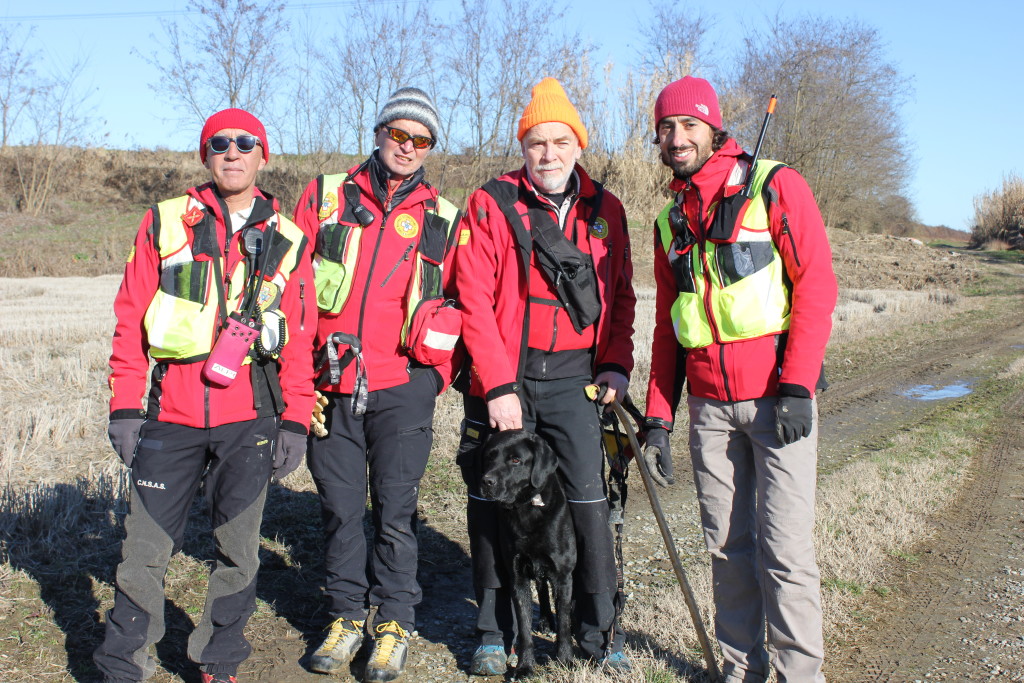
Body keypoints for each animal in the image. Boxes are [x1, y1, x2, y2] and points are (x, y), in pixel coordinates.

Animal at [479, 430, 577, 675]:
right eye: (490, 456)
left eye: (516, 460)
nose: (486, 481)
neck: (527, 509)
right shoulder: (517, 576)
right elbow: (523, 628)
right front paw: (525, 666)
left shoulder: (562, 575)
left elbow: (564, 623)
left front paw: (565, 660)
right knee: (541, 589)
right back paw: (545, 620)